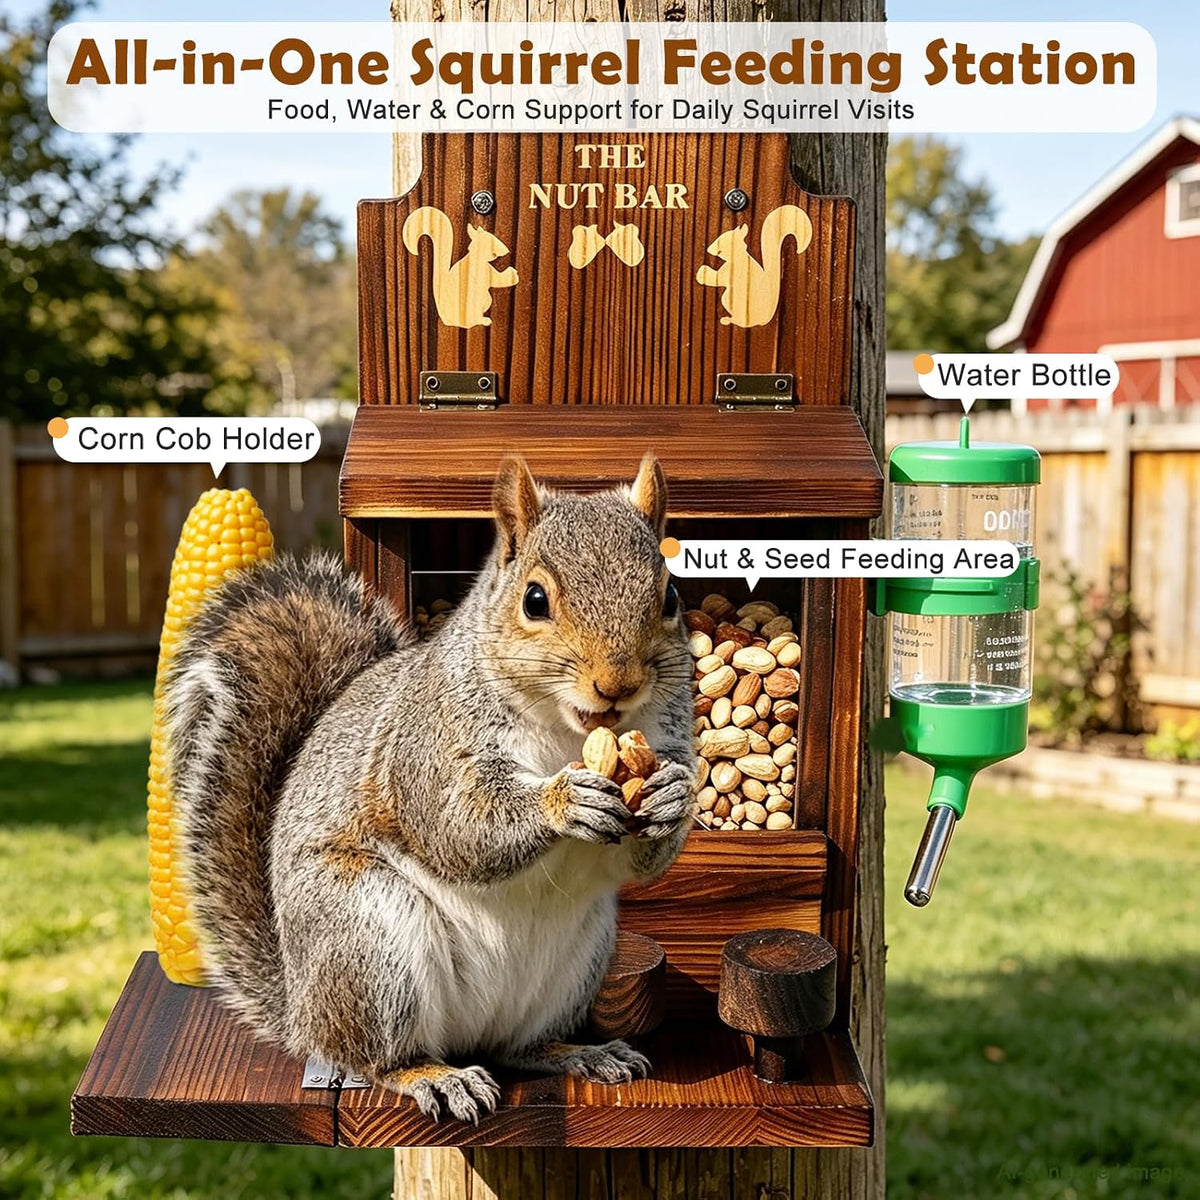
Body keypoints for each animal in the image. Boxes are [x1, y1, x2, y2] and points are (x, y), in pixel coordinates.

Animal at [163, 455, 696, 1124]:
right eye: (535, 600)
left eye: (671, 594)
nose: (616, 685)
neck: (568, 734)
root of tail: (302, 1014)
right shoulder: (427, 748)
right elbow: (457, 825)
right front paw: (562, 802)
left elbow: (643, 854)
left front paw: (674, 795)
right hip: (368, 941)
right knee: (376, 1059)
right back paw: (432, 1076)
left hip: (580, 957)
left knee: (517, 1046)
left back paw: (578, 1053)